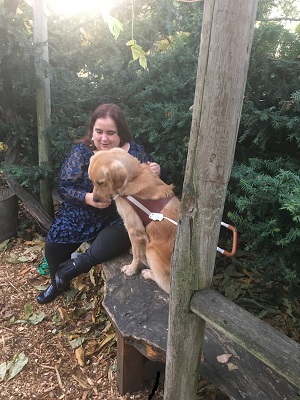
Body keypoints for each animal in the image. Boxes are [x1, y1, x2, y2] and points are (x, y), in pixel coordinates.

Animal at [88, 148, 179, 292]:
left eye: (101, 182)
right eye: (91, 181)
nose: (95, 200)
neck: (133, 177)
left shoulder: (134, 229)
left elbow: (137, 255)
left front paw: (131, 269)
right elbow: (137, 250)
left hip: (152, 249)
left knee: (166, 286)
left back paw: (148, 273)